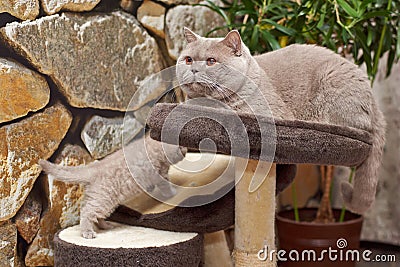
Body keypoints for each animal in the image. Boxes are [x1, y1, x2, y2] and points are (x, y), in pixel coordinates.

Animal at [39, 136, 186, 239]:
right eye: (181, 146)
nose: (186, 151)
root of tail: (94, 168)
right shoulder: (158, 173)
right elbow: (165, 185)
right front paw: (173, 192)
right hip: (104, 200)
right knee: (87, 212)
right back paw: (87, 232)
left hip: (100, 199)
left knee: (93, 213)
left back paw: (105, 226)